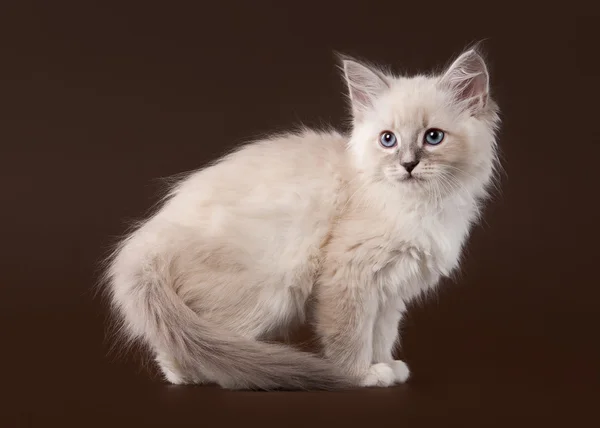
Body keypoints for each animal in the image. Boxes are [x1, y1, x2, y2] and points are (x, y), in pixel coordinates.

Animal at [104, 48, 502, 390]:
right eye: (388, 140)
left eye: (433, 137)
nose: (407, 165)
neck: (421, 206)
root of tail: (148, 240)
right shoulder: (349, 275)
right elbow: (352, 335)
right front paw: (362, 375)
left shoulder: (391, 291)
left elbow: (381, 334)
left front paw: (386, 366)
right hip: (273, 286)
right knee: (196, 348)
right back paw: (228, 375)